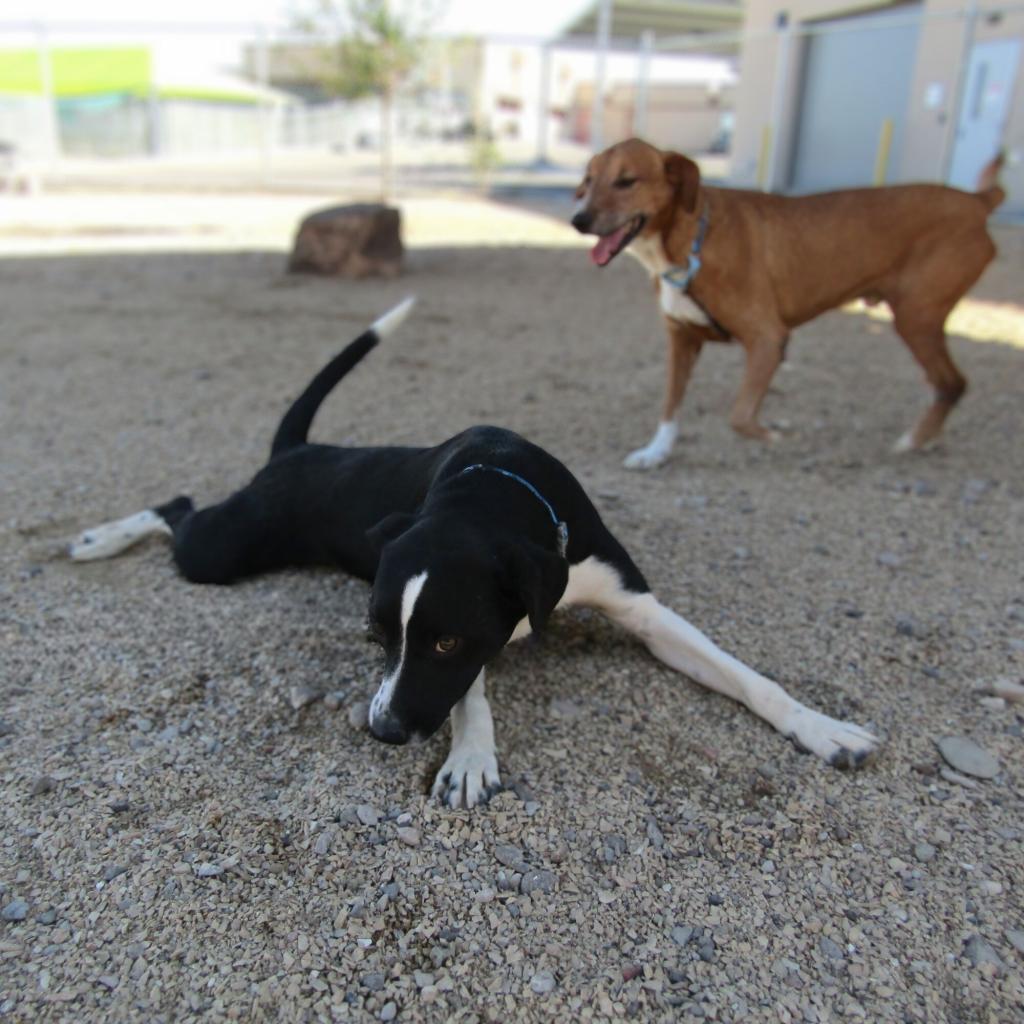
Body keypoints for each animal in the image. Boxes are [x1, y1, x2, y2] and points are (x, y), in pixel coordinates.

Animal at [70, 299, 880, 806]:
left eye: (445, 640)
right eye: (375, 636)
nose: (383, 731)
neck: (494, 487)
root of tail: (299, 451)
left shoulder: (638, 610)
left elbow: (747, 677)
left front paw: (822, 728)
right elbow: (473, 695)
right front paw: (470, 756)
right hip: (224, 548)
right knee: (178, 509)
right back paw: (97, 539)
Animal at [573, 136, 1003, 468]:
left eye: (627, 181)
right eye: (589, 180)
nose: (578, 220)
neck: (690, 242)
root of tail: (976, 201)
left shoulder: (768, 340)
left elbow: (739, 416)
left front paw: (777, 435)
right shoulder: (682, 341)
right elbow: (670, 406)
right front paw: (656, 452)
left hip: (916, 318)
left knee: (952, 383)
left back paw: (914, 441)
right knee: (947, 383)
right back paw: (924, 439)